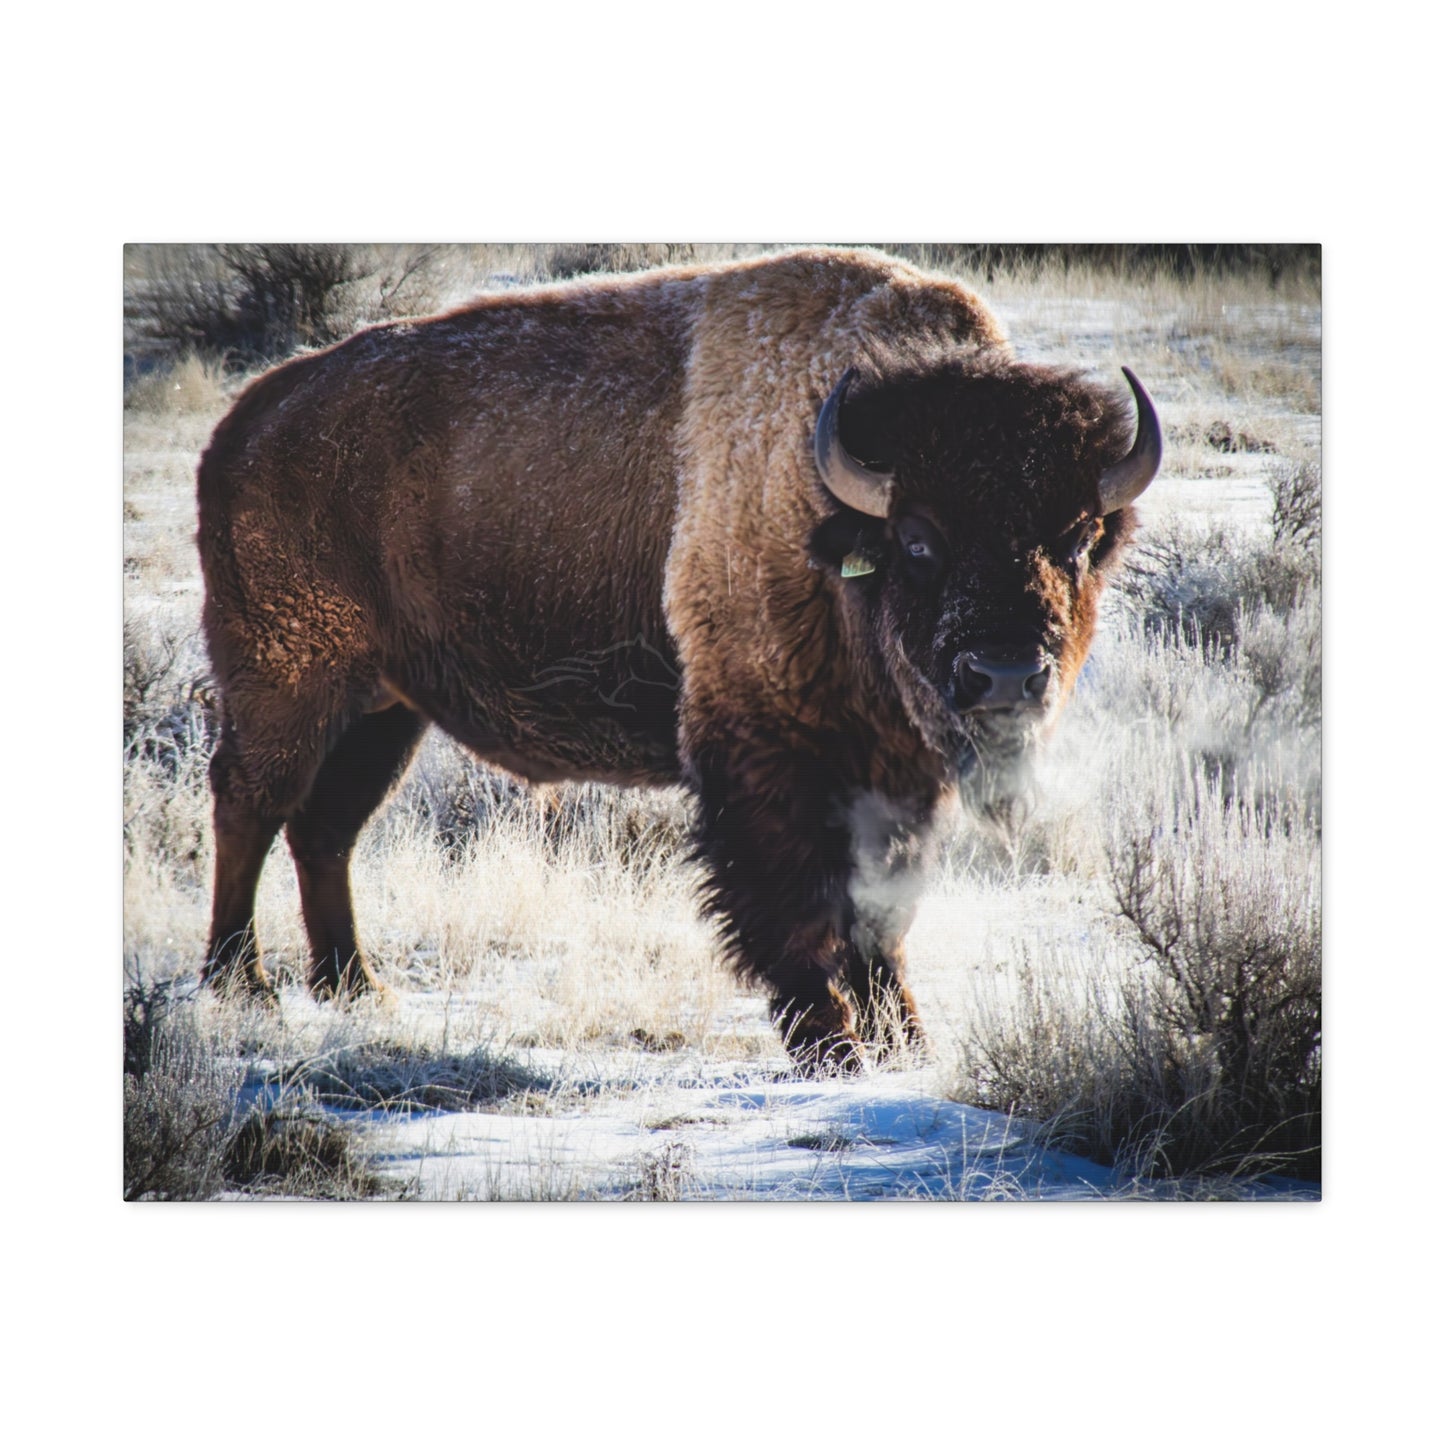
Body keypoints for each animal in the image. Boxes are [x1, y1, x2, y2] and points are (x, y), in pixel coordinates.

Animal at [196, 247, 1160, 1070]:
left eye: (1077, 538)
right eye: (918, 540)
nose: (1003, 676)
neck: (827, 503)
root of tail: (247, 420)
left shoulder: (896, 773)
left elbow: (881, 913)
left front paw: (905, 1045)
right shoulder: (766, 753)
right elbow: (798, 906)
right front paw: (833, 1048)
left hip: (384, 710)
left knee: (325, 828)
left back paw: (356, 988)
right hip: (287, 680)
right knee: (251, 804)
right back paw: (242, 984)